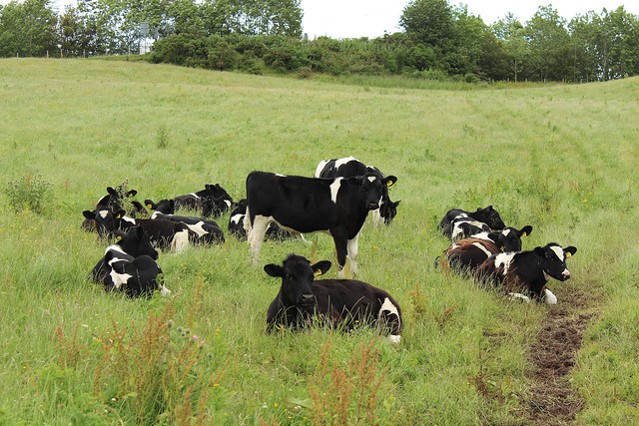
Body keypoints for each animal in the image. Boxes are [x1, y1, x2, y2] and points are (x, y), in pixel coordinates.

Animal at [245, 171, 392, 278]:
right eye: (364, 188)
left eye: (380, 188)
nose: (373, 204)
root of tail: (257, 173)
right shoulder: (339, 231)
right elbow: (342, 256)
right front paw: (341, 277)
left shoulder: (354, 231)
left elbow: (354, 255)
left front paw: (356, 275)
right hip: (260, 219)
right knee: (255, 243)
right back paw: (255, 269)